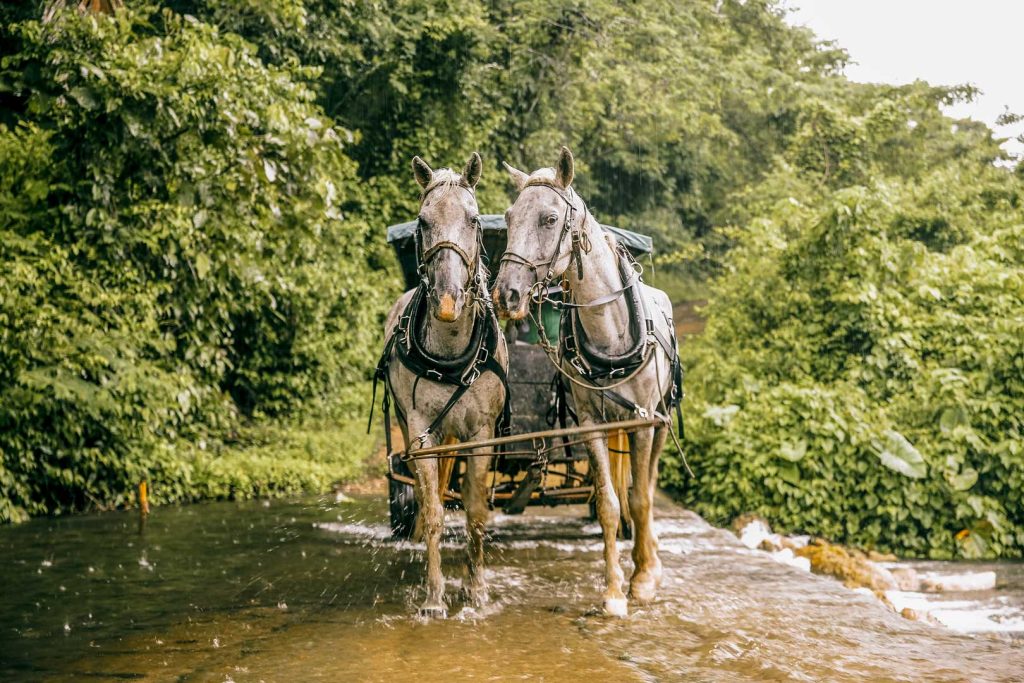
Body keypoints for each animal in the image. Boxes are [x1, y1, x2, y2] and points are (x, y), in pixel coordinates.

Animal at [372, 153, 507, 618]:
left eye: (473, 219)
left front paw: (477, 590)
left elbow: (476, 511)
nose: (448, 304)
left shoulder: (482, 433)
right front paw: (433, 596)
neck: (450, 354)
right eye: (422, 221)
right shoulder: (421, 432)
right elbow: (432, 511)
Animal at [493, 147, 684, 618]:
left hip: (659, 419)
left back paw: (651, 560)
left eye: (548, 218)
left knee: (647, 483)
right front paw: (614, 591)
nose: (505, 293)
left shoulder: (641, 421)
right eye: (508, 217)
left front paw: (642, 580)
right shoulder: (592, 424)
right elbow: (610, 503)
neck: (610, 331)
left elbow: (639, 498)